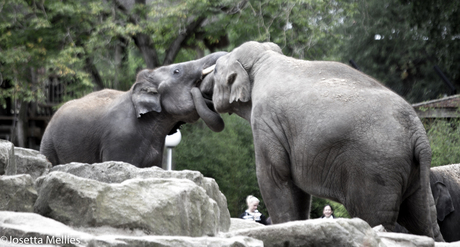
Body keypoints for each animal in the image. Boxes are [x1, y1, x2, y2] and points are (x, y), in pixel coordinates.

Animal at [199, 41, 444, 240]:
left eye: (217, 70)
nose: (201, 86)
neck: (265, 59)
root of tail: (418, 133)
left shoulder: (266, 120)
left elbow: (274, 176)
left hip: (376, 169)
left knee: (374, 216)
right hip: (410, 171)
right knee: (422, 218)